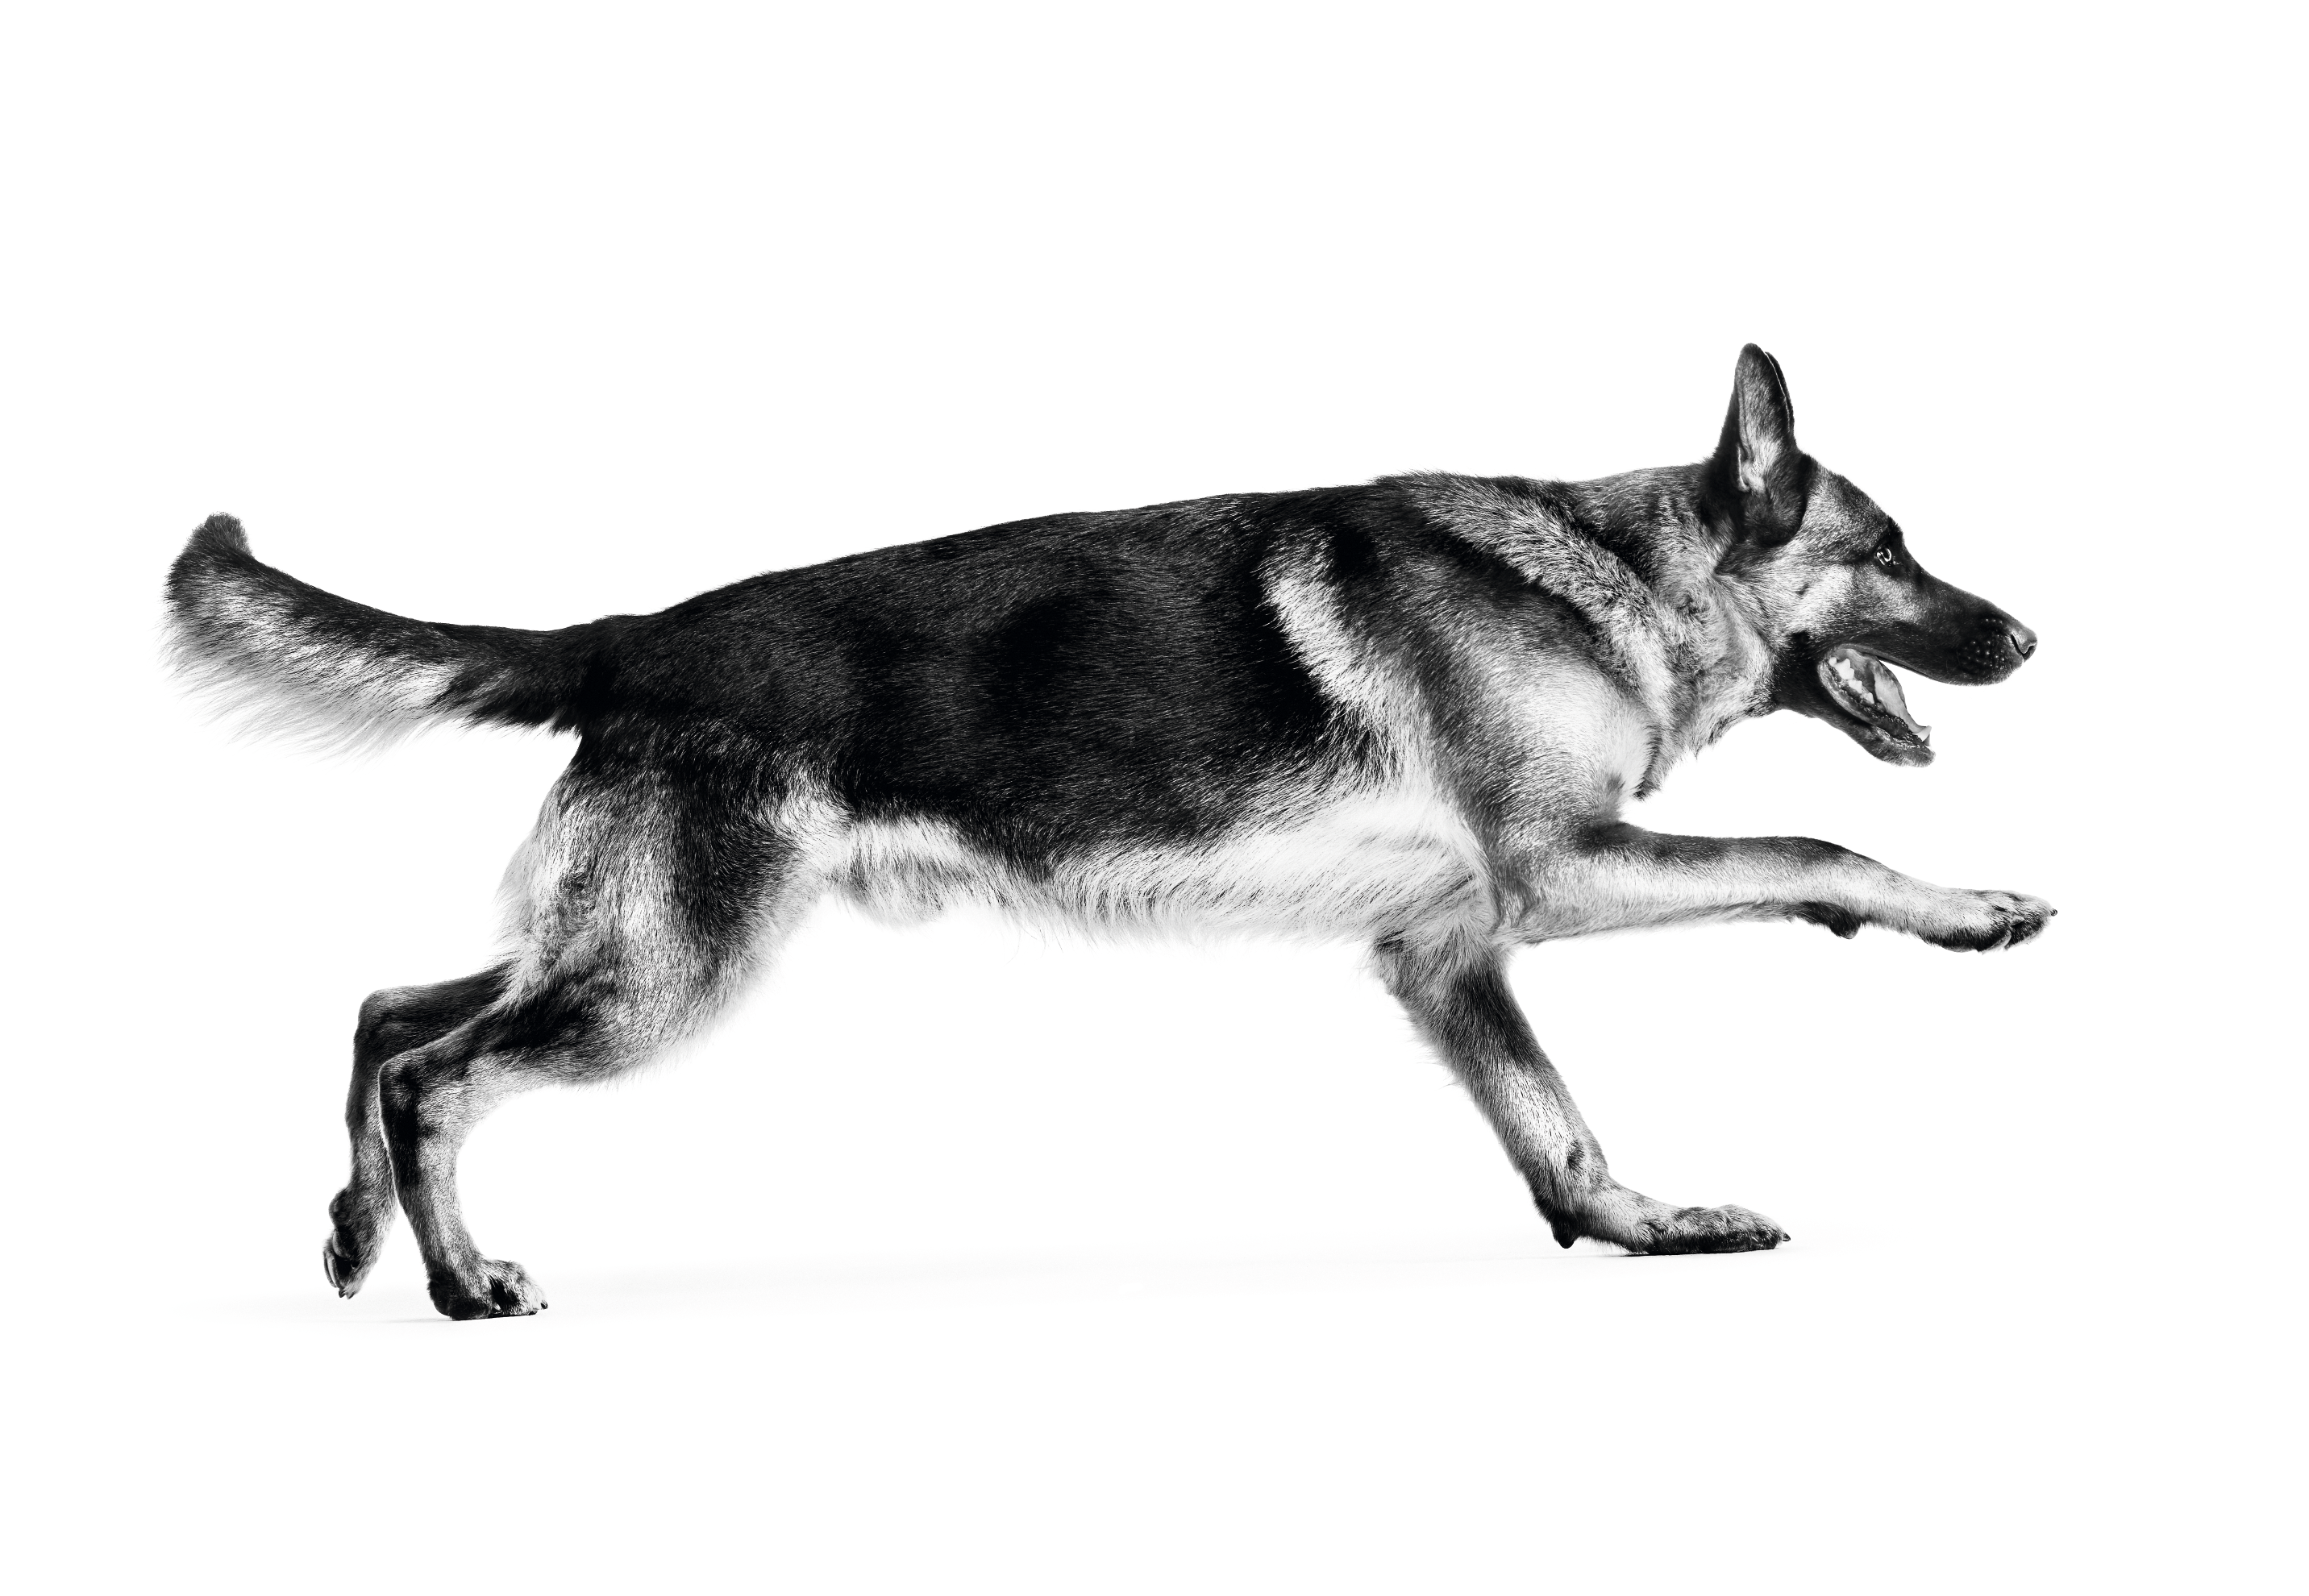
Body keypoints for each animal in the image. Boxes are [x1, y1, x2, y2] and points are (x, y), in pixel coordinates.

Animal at [167, 348, 2059, 1321]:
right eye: (1889, 550)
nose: (2028, 638)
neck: (1611, 576)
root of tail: (630, 637)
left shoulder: (1445, 954)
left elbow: (1555, 1128)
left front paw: (1637, 1231)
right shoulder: (1560, 872)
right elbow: (1814, 850)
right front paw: (1961, 908)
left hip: (616, 949)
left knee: (387, 1010)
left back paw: (357, 1238)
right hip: (664, 979)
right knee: (438, 1068)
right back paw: (459, 1280)